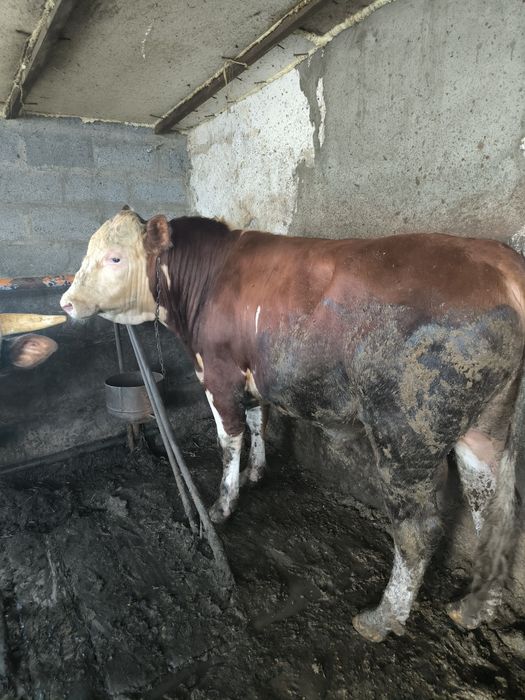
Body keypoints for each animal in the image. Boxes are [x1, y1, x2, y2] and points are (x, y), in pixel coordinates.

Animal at [60, 207, 525, 642]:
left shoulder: (219, 375)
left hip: (407, 435)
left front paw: (223, 505)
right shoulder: (254, 377)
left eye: (115, 257)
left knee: (418, 529)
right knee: (491, 510)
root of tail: (501, 262)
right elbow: (258, 421)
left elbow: (229, 439)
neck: (209, 277)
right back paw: (472, 608)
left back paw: (381, 618)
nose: (66, 301)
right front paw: (256, 472)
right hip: (486, 426)